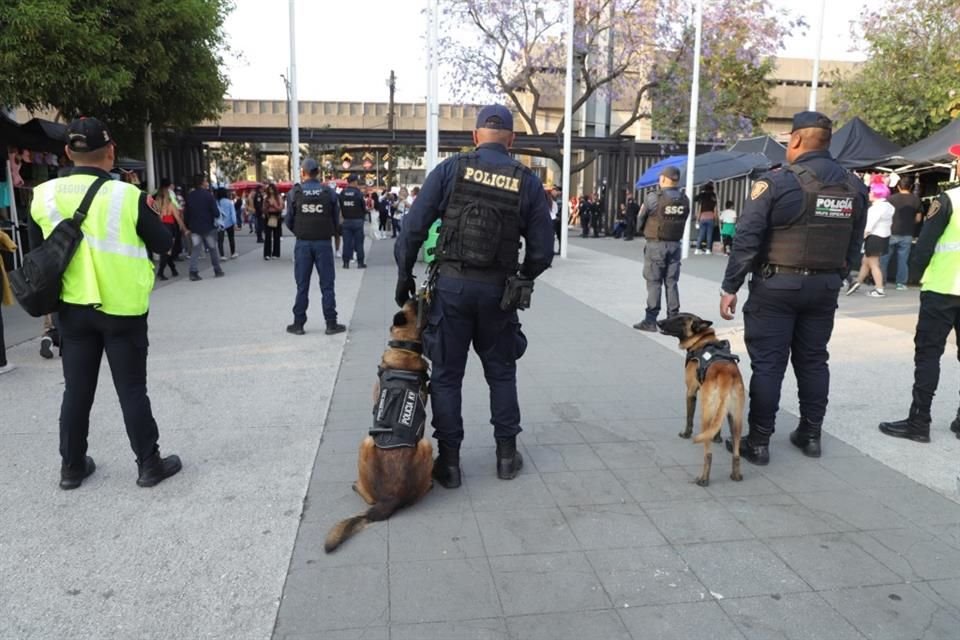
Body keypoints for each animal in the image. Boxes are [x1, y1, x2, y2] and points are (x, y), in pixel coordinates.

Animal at [324, 298, 434, 552]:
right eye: (417, 302)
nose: (427, 296)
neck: (404, 347)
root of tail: (390, 499)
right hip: (415, 443)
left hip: (373, 442)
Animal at [656, 314, 748, 484]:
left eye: (679, 319)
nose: (658, 322)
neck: (703, 339)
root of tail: (726, 376)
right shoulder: (722, 412)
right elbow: (717, 427)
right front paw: (717, 438)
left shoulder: (691, 391)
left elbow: (689, 417)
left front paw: (686, 434)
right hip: (736, 420)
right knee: (736, 453)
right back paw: (736, 475)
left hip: (706, 414)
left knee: (708, 454)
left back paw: (703, 479)